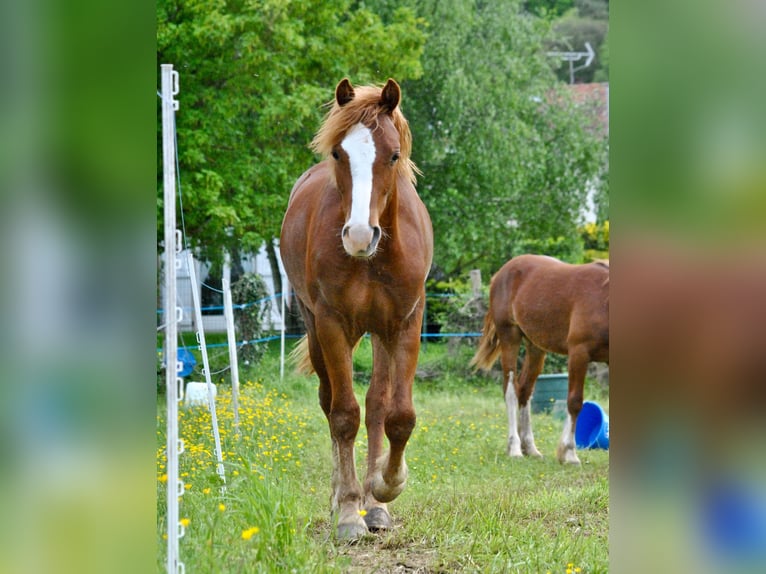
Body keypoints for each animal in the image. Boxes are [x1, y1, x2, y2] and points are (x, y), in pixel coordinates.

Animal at [280, 80, 436, 540]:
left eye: (393, 155)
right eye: (338, 153)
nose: (360, 236)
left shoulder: (403, 325)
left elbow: (396, 416)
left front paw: (385, 487)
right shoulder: (332, 324)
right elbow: (344, 415)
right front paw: (350, 511)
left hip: (377, 333)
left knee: (376, 407)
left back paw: (375, 504)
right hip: (319, 329)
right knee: (330, 402)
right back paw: (341, 497)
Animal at [472, 256, 608, 468]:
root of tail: (501, 273)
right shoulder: (579, 354)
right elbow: (575, 401)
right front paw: (569, 453)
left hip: (535, 347)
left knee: (525, 390)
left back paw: (530, 448)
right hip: (510, 338)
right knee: (511, 390)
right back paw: (515, 448)